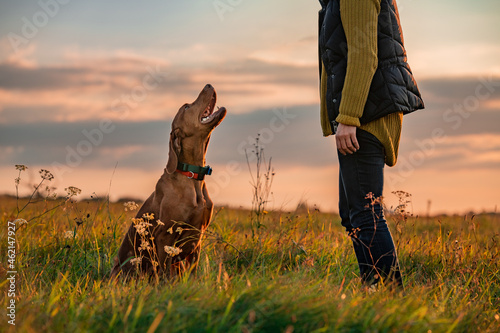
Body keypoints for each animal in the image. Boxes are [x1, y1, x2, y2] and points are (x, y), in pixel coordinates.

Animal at [111, 83, 227, 278]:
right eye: (186, 107)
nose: (208, 84)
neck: (192, 175)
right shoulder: (165, 236)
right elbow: (164, 273)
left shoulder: (197, 238)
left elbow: (192, 272)